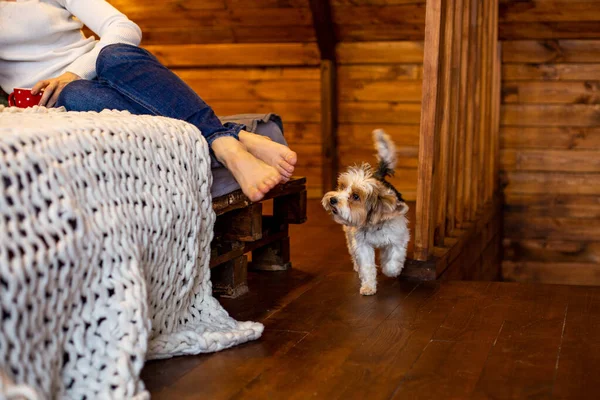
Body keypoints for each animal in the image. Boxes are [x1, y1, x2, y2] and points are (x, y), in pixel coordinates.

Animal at [322, 130, 410, 296]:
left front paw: (390, 270)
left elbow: (394, 259)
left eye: (356, 196)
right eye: (342, 187)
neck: (373, 224)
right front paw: (368, 286)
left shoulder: (398, 239)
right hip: (349, 235)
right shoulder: (362, 245)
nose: (332, 199)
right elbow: (367, 266)